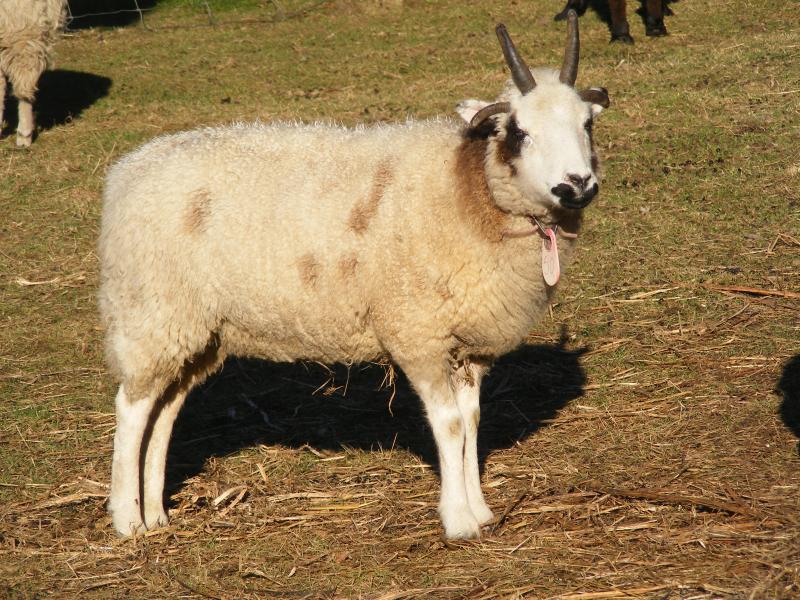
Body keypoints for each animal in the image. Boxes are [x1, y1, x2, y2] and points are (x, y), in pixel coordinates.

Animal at [99, 10, 610, 540]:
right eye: (520, 131)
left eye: (588, 123)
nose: (577, 185)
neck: (469, 190)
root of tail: (127, 171)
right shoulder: (416, 331)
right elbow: (449, 424)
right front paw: (458, 519)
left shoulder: (468, 341)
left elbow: (471, 421)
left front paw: (480, 509)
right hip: (151, 311)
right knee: (131, 409)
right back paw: (127, 519)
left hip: (196, 329)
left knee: (163, 410)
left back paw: (156, 515)